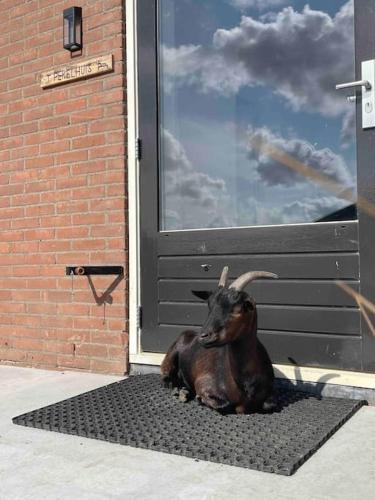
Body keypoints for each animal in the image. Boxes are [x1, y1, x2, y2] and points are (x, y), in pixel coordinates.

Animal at [162, 268, 280, 416]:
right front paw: (200, 398)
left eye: (238, 309)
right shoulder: (203, 382)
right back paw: (180, 391)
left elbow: (269, 404)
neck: (245, 384)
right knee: (166, 377)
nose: (203, 336)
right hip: (170, 357)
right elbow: (224, 404)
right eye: (209, 306)